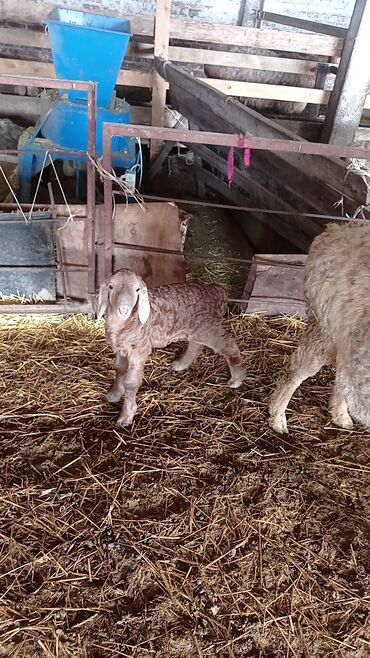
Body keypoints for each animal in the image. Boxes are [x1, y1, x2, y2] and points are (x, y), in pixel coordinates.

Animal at [96, 266, 246, 426]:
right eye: (111, 287)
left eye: (137, 290)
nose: (123, 309)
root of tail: (217, 290)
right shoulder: (122, 349)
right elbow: (119, 369)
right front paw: (114, 394)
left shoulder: (140, 349)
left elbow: (131, 383)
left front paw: (126, 416)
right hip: (197, 329)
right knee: (196, 346)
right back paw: (181, 365)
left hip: (208, 328)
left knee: (229, 346)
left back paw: (237, 380)